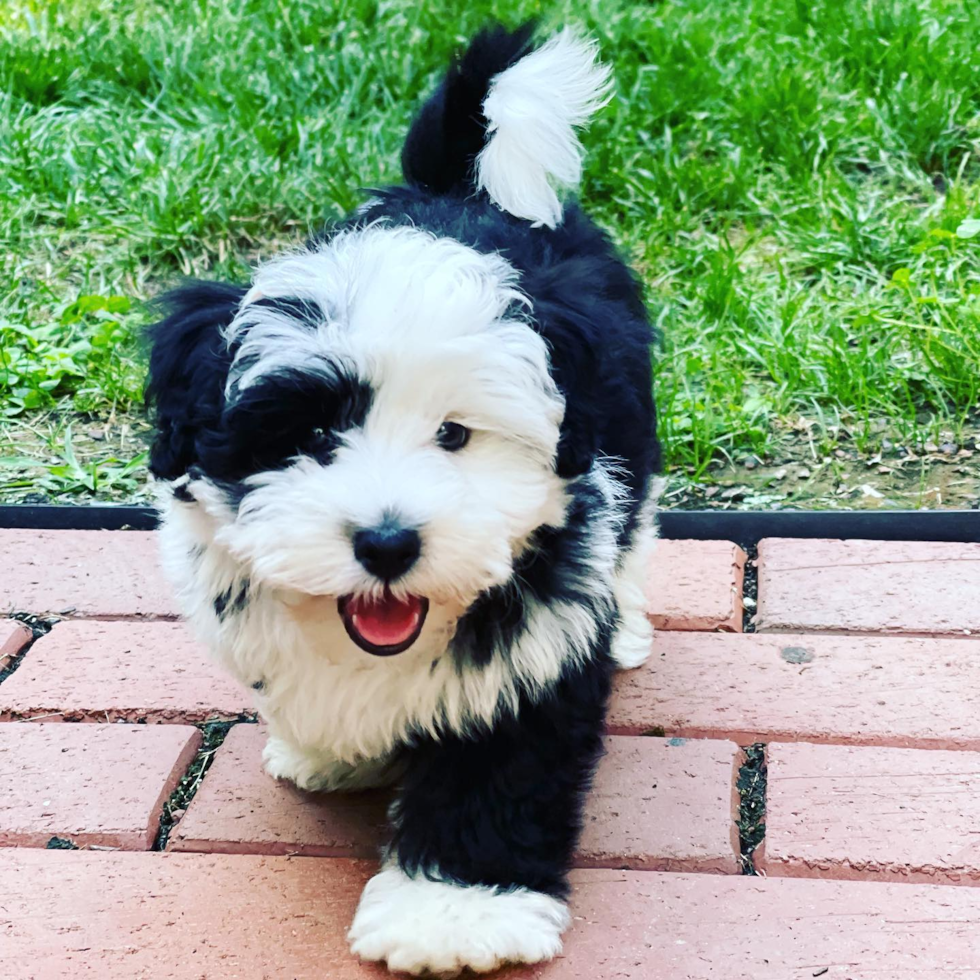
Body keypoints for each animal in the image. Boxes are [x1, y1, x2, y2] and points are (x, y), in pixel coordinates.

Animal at [145, 24, 664, 980]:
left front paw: (453, 916)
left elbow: (497, 771)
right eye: (312, 434)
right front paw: (327, 748)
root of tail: (461, 192)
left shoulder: (534, 646)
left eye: (454, 436)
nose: (387, 543)